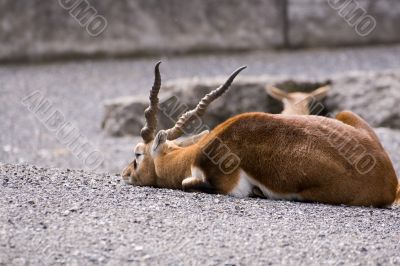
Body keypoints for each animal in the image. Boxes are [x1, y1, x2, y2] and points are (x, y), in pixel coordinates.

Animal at [123, 62, 398, 208]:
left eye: (137, 154)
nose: (125, 173)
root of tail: (388, 177)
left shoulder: (227, 186)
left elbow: (187, 183)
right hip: (347, 115)